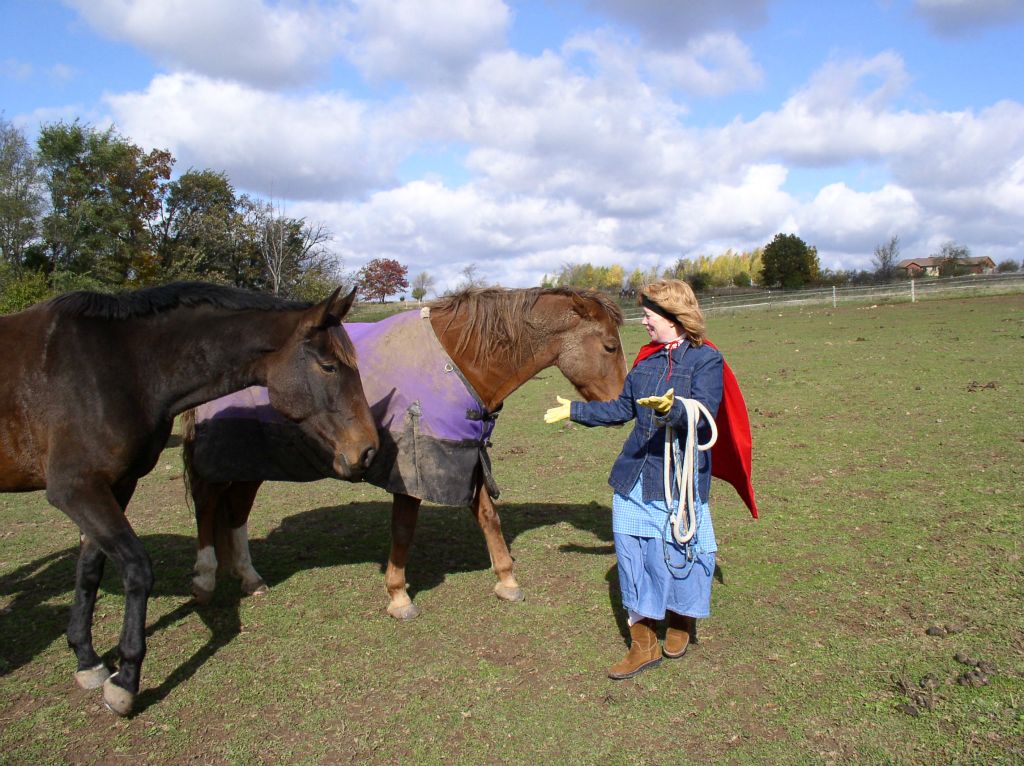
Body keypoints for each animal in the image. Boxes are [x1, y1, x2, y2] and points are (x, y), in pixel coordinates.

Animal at [0, 282, 378, 716]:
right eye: (329, 366)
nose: (368, 450)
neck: (118, 367)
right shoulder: (75, 489)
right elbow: (137, 569)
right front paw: (125, 683)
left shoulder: (116, 486)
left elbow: (90, 569)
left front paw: (88, 661)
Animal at [185, 286, 630, 614]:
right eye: (610, 346)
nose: (621, 406)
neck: (459, 362)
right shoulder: (414, 465)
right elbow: (403, 529)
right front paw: (398, 595)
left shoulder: (465, 454)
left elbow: (489, 517)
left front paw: (506, 580)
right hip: (225, 463)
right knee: (208, 508)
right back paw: (205, 580)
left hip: (250, 463)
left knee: (236, 514)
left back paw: (251, 579)